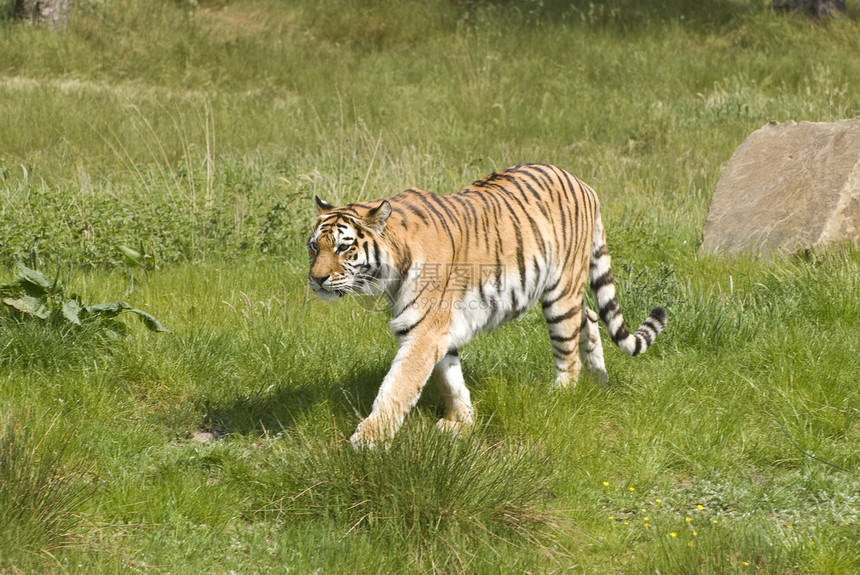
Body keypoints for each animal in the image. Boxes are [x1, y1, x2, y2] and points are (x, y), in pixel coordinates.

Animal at [306, 164, 668, 448]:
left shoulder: (424, 331)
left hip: (561, 291)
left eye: (343, 247)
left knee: (569, 353)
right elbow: (450, 378)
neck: (391, 268)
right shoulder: (437, 329)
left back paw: (560, 397)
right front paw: (461, 422)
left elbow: (397, 386)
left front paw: (368, 440)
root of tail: (583, 183)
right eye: (314, 246)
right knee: (591, 316)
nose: (317, 279)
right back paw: (600, 382)